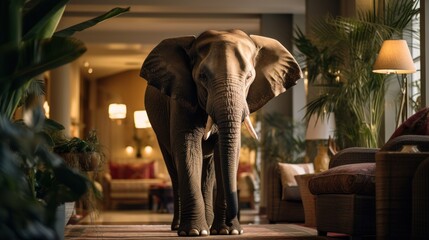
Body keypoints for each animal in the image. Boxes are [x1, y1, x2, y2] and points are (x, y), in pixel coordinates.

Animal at [140, 28, 300, 236]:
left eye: (249, 77)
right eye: (202, 77)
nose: (236, 222)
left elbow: (228, 151)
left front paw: (227, 232)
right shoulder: (181, 97)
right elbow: (187, 148)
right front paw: (194, 232)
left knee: (209, 170)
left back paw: (208, 224)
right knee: (173, 167)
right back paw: (179, 226)